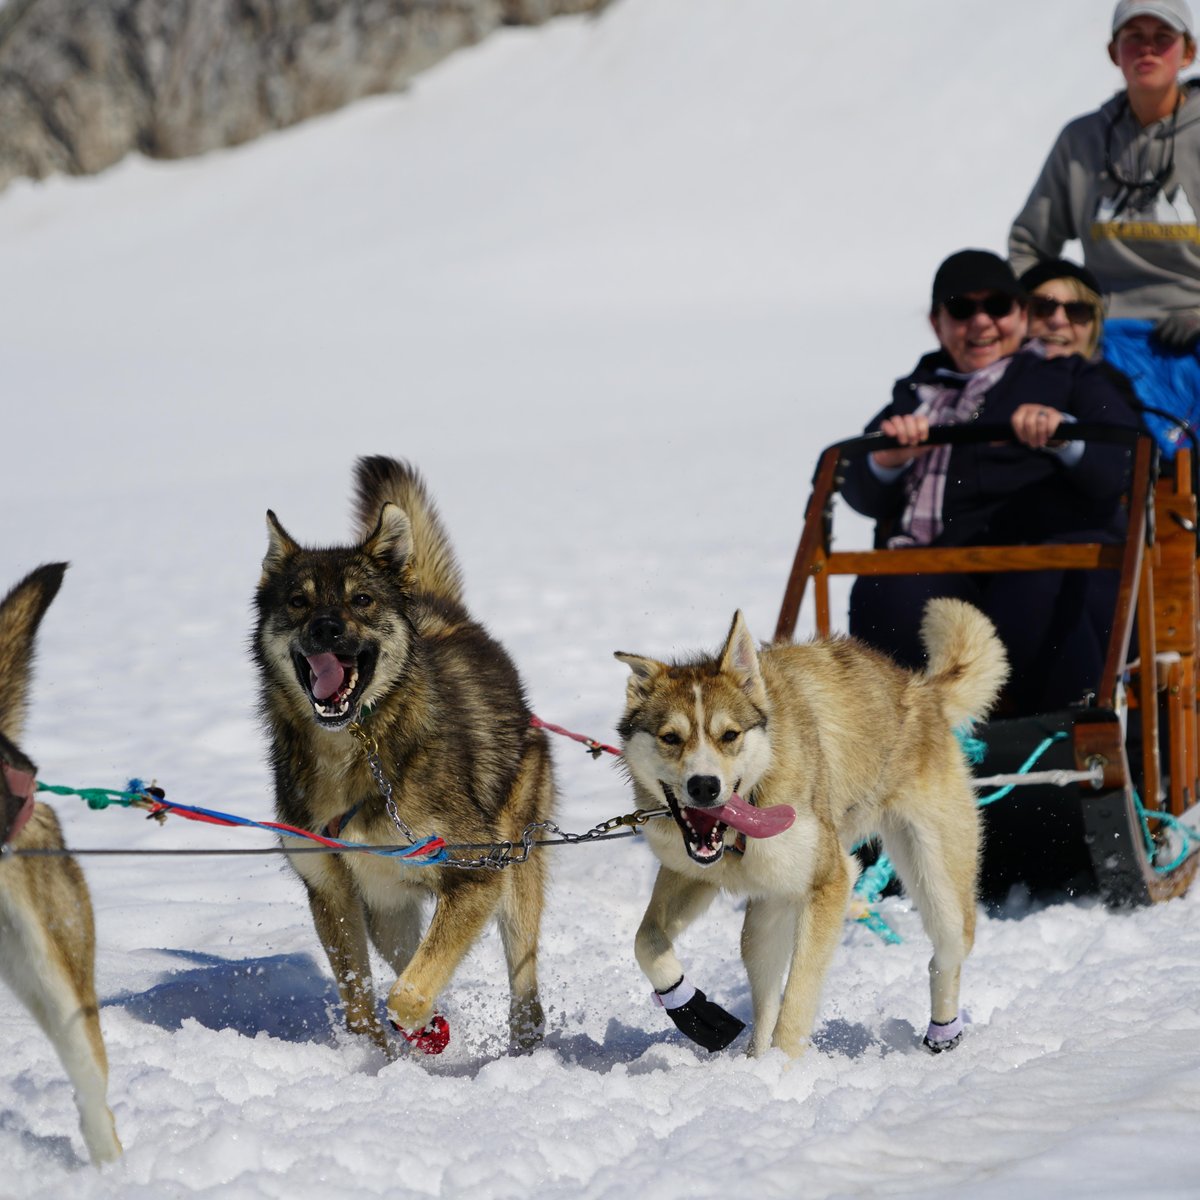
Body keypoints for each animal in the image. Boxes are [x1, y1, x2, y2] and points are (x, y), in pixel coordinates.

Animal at [253, 453, 556, 1056]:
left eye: (361, 599)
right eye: (298, 601)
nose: (326, 627)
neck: (353, 753)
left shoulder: (477, 875)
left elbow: (408, 992)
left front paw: (414, 1022)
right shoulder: (333, 890)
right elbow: (358, 1001)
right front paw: (376, 1053)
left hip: (515, 867)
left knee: (522, 985)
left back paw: (523, 1045)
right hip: (387, 905)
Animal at [614, 600, 1008, 1060]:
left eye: (729, 735)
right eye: (670, 738)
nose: (704, 786)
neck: (753, 799)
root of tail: (921, 690)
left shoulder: (831, 882)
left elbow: (798, 999)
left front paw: (784, 1070)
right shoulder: (690, 872)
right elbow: (646, 940)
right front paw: (693, 1010)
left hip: (938, 884)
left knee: (945, 956)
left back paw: (943, 1033)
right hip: (768, 914)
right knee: (764, 990)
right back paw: (754, 1062)